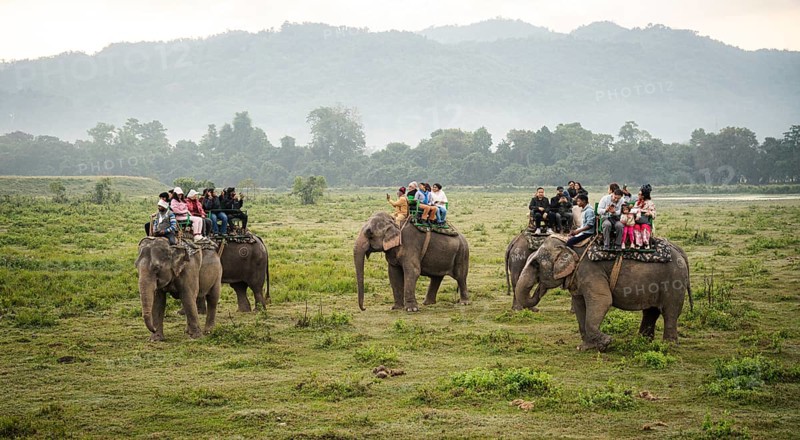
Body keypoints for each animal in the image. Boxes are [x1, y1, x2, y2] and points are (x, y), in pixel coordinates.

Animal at [514, 236, 692, 351]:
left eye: (536, 264)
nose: (539, 289)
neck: (568, 243)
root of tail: (680, 251)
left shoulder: (590, 270)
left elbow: (603, 301)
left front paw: (607, 342)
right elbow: (580, 306)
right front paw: (585, 347)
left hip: (674, 280)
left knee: (670, 312)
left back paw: (667, 346)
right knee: (651, 312)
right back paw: (642, 342)